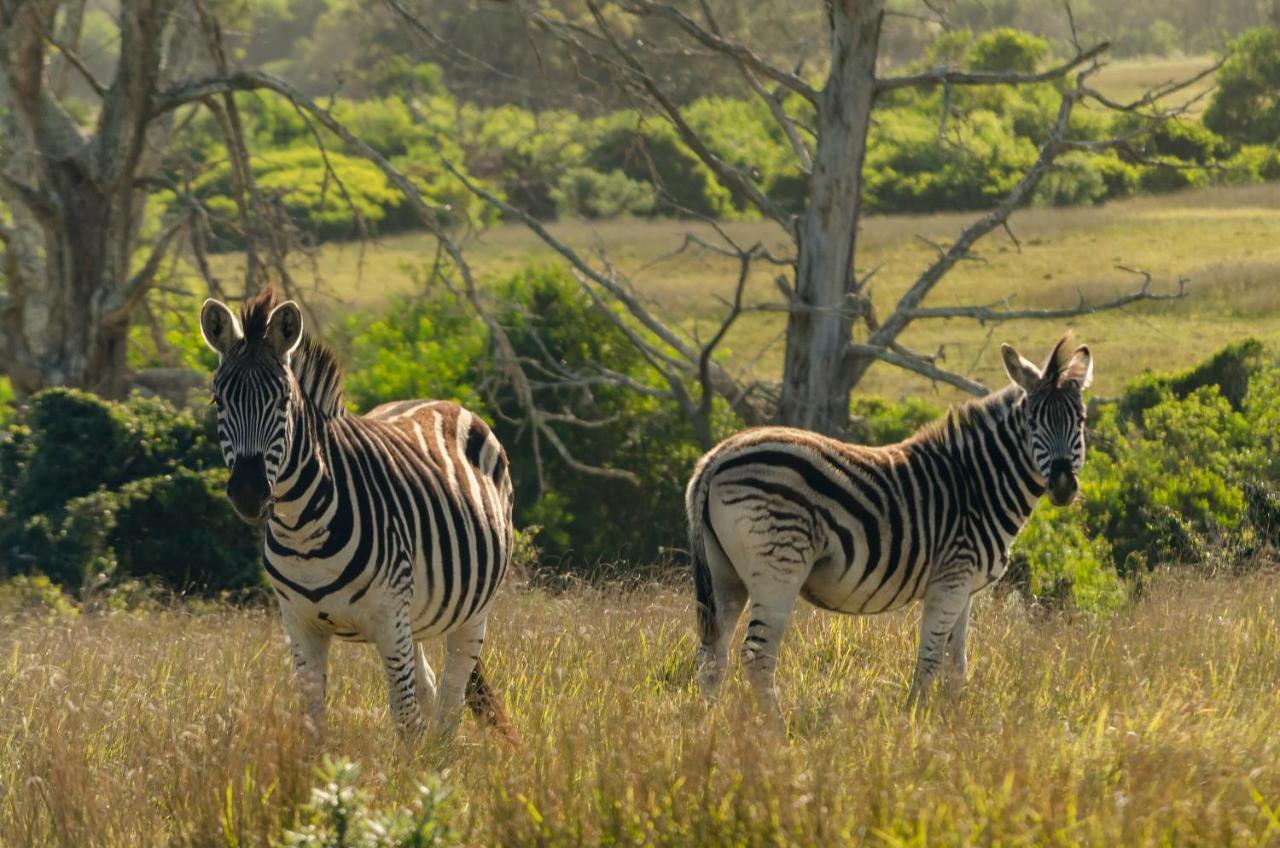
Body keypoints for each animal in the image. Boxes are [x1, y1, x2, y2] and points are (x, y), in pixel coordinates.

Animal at [198, 286, 514, 742]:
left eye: (283, 401)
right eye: (218, 400)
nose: (248, 493)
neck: (302, 529)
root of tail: (446, 402)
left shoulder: (388, 618)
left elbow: (405, 719)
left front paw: (411, 765)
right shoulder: (300, 626)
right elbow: (313, 722)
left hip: (471, 612)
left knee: (450, 701)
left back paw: (443, 755)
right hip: (415, 617)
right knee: (432, 688)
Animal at [686, 335, 1095, 722]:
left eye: (1080, 422)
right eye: (1033, 423)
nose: (1063, 485)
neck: (978, 483)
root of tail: (716, 457)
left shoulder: (965, 590)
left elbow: (956, 665)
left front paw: (954, 723)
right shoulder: (950, 580)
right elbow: (930, 661)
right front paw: (914, 722)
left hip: (725, 574)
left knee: (712, 655)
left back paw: (709, 728)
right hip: (778, 569)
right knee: (756, 655)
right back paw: (776, 731)